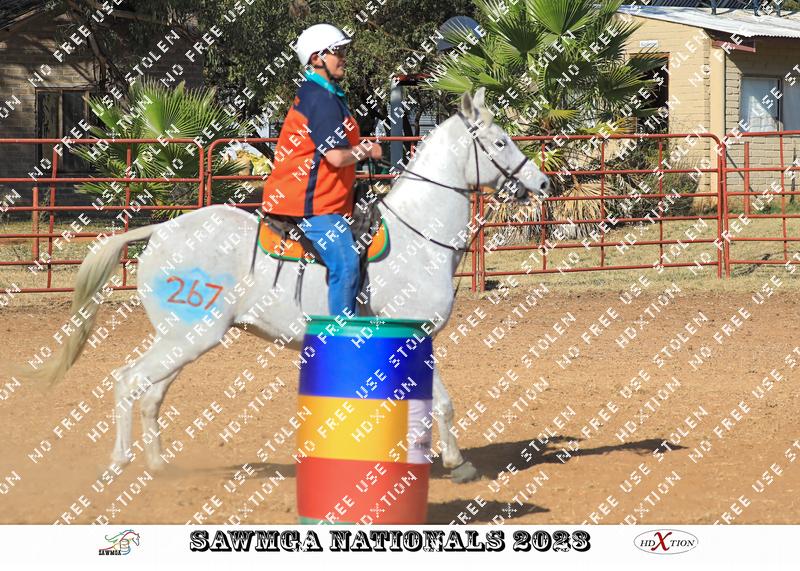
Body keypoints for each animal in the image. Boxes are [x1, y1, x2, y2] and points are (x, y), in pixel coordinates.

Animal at [25, 88, 551, 484]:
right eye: (499, 142)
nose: (544, 184)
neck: (417, 235)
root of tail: (159, 231)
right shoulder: (416, 336)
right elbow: (442, 403)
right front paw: (458, 464)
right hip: (188, 336)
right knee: (128, 382)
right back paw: (120, 463)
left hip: (182, 338)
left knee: (151, 394)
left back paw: (158, 465)